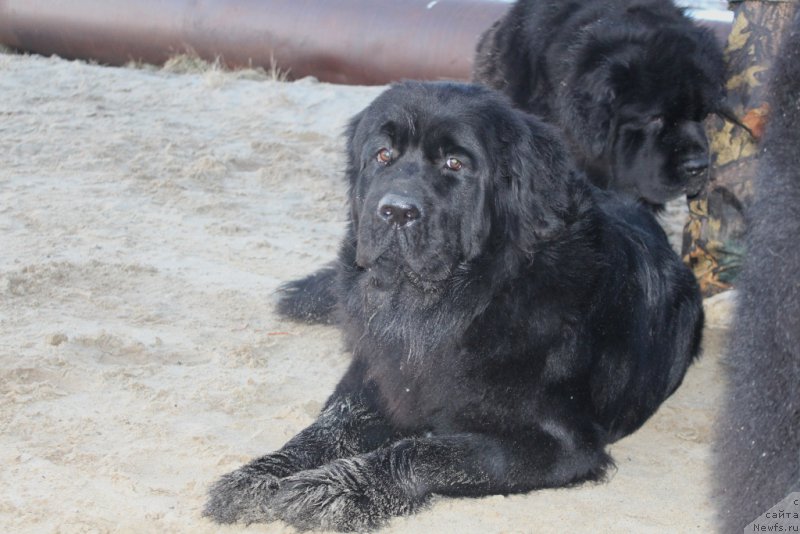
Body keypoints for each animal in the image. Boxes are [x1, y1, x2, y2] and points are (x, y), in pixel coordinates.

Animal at [205, 84, 700, 532]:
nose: (396, 211)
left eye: (455, 164)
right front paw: (260, 475)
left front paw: (337, 488)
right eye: (382, 156)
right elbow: (327, 428)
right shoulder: (378, 378)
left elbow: (427, 451)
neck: (452, 307)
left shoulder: (560, 443)